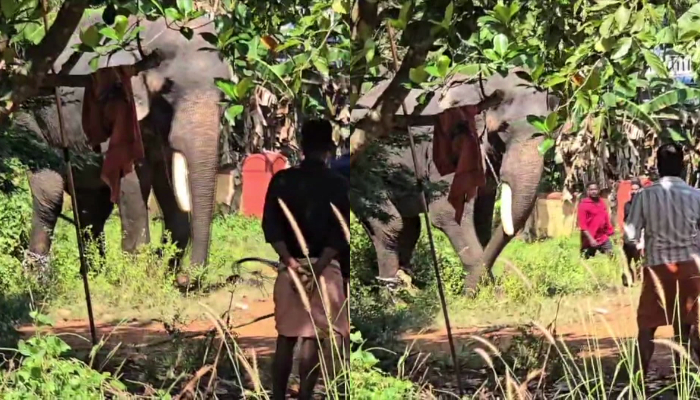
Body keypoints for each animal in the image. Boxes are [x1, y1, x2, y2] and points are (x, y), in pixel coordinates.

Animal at [15, 11, 230, 282]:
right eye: (167, 87)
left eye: (224, 91)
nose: (184, 279)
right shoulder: (117, 103)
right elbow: (133, 176)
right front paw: (139, 276)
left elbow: (166, 178)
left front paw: (163, 274)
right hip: (31, 121)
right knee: (50, 193)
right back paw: (36, 279)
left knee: (92, 205)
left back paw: (94, 274)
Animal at [352, 70, 560, 292]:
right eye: (503, 128)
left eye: (552, 133)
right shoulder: (449, 144)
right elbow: (448, 213)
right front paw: (489, 293)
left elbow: (482, 218)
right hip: (363, 171)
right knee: (392, 226)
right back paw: (395, 295)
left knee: (408, 227)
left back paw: (409, 289)